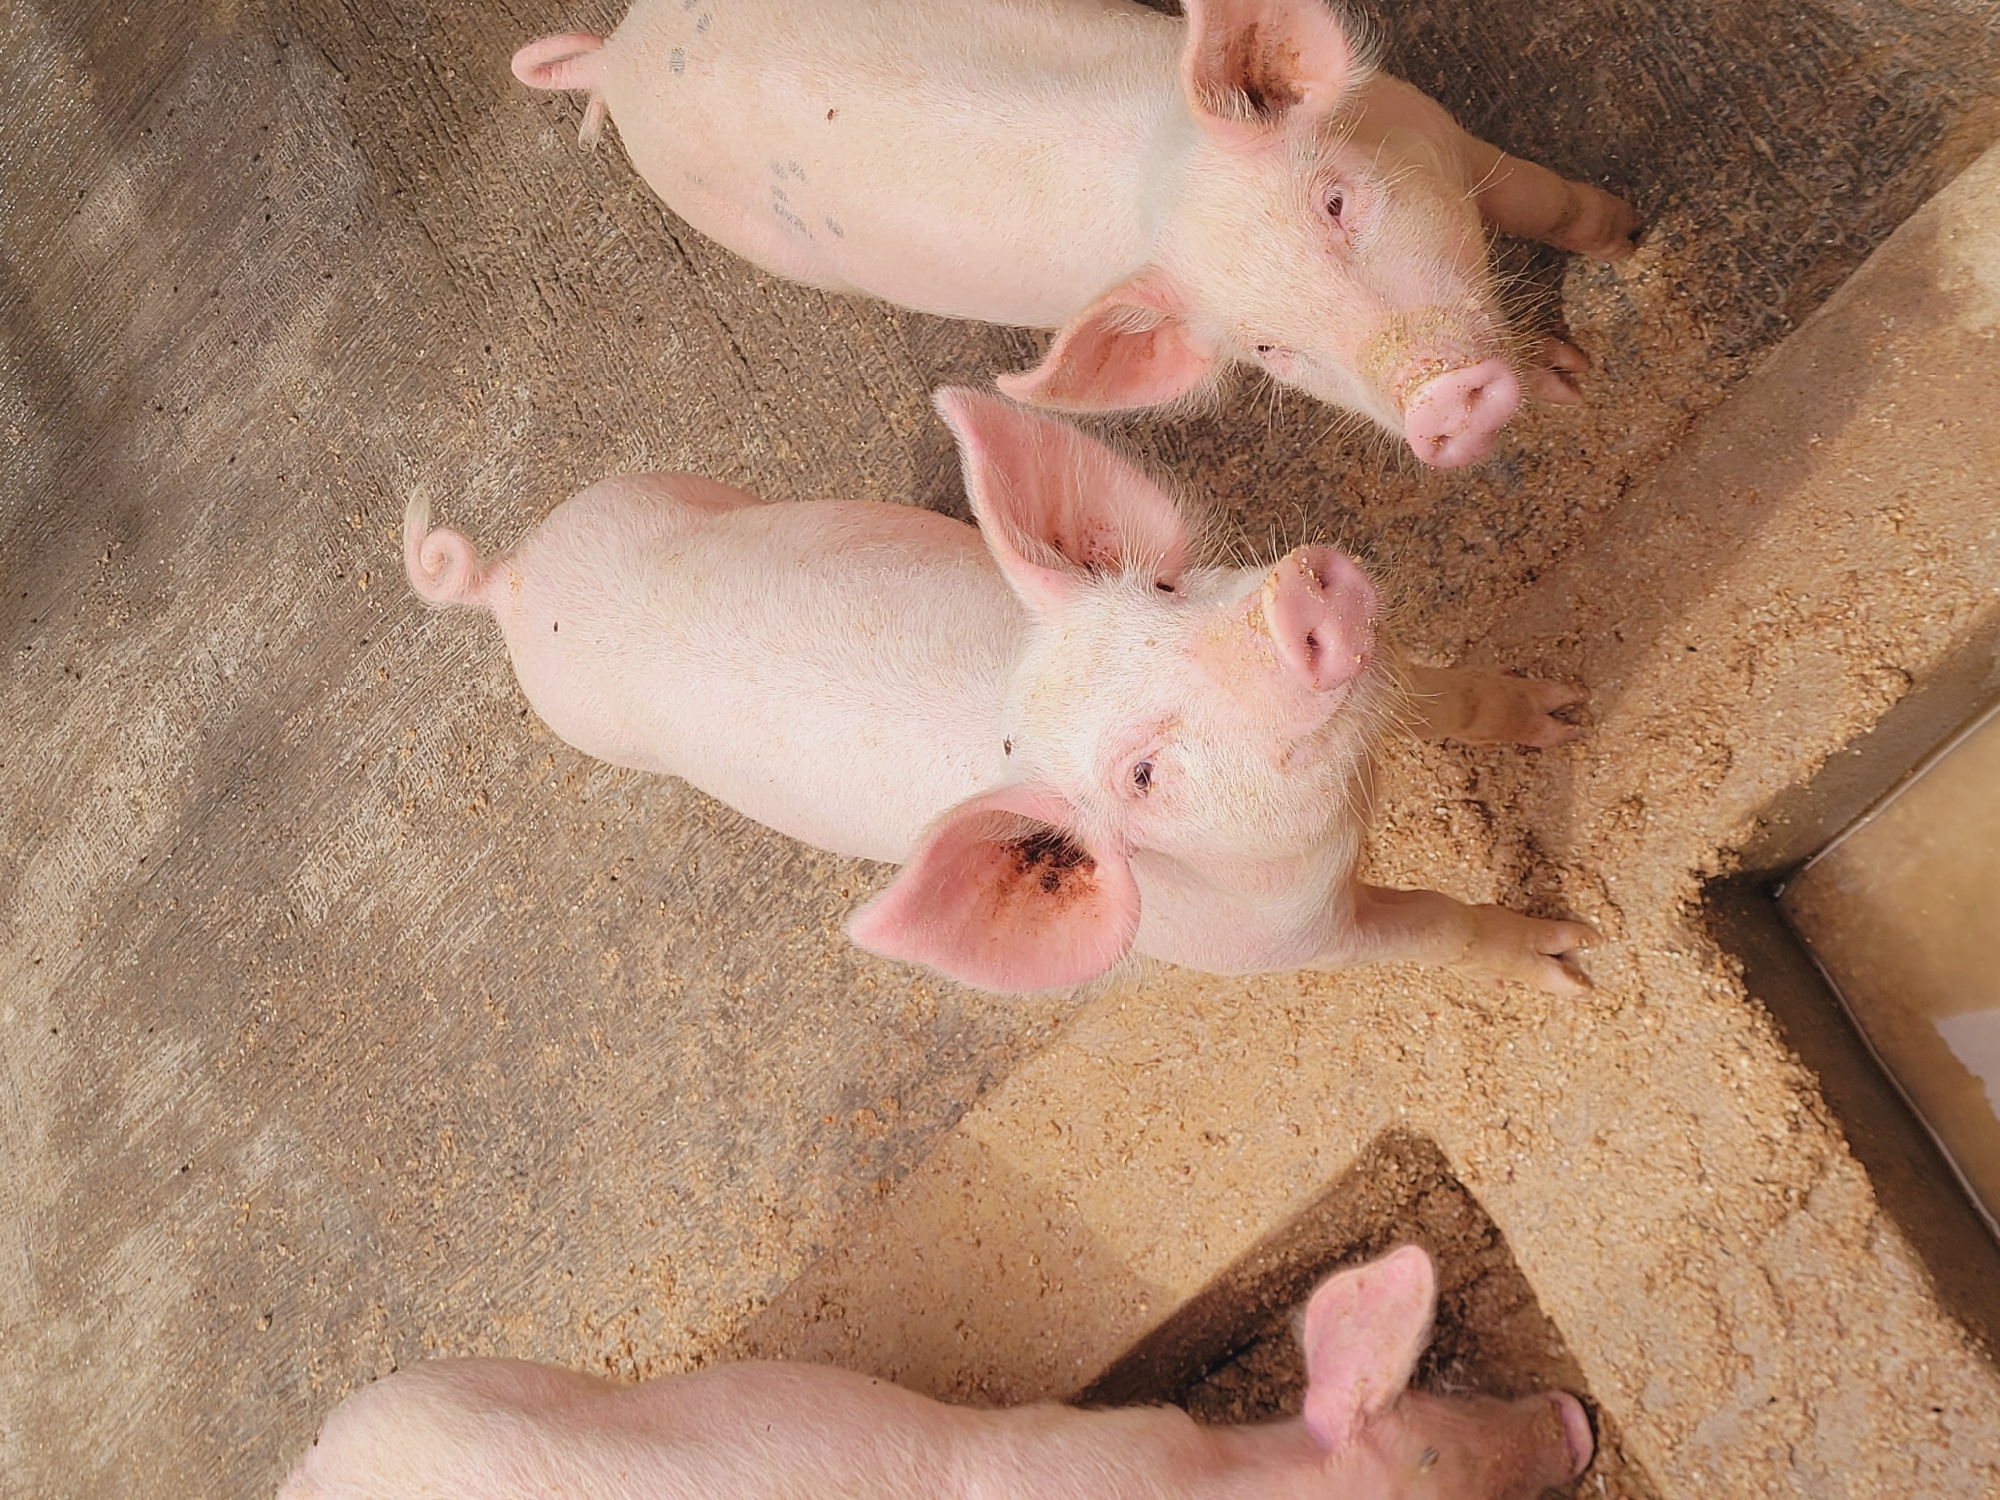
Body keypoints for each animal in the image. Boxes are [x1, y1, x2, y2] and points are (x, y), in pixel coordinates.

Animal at [405, 389, 1594, 995]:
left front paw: (1565, 708)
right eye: (1142, 774)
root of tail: (508, 581)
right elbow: (1431, 930)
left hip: (657, 491)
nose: (1296, 595)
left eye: (1166, 586)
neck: (1340, 818)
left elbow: (1452, 697)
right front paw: (1568, 960)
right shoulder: (1278, 944)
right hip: (590, 722)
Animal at [510, 0, 1642, 468]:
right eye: (1268, 350)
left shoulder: (1423, 119)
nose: (1438, 403)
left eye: (1335, 202)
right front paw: (1575, 373)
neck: (1154, 182)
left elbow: (1537, 199)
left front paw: (1626, 238)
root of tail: (612, 61)